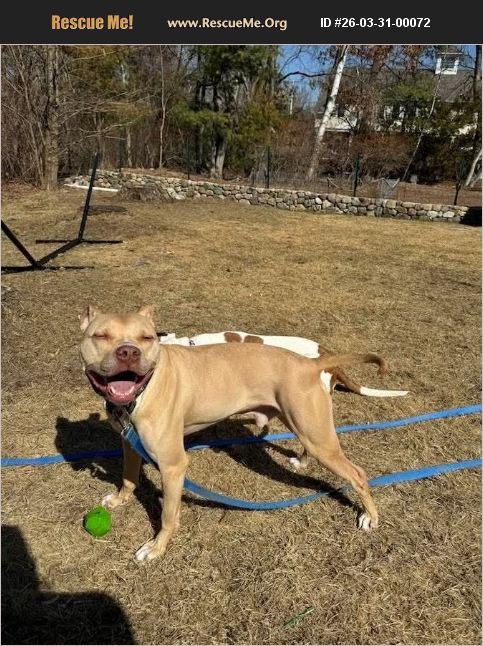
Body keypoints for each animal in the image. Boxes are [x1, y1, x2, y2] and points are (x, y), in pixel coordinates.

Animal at [80, 305, 383, 562]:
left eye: (146, 338)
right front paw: (119, 499)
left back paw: (370, 516)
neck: (142, 392)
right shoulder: (128, 443)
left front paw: (156, 547)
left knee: (357, 474)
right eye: (101, 335)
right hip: (306, 426)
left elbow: (167, 515)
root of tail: (310, 364)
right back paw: (303, 462)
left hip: (319, 439)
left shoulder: (172, 466)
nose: (128, 353)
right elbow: (128, 477)